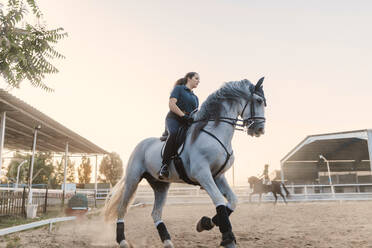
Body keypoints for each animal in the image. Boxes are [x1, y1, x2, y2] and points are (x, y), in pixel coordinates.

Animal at [105, 78, 268, 248]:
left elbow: (233, 201)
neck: (214, 134)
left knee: (156, 213)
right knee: (122, 208)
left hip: (160, 185)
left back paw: (167, 241)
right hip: (133, 179)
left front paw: (205, 223)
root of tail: (140, 144)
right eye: (258, 101)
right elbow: (219, 200)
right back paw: (122, 241)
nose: (260, 129)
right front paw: (227, 238)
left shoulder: (218, 176)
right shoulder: (202, 174)